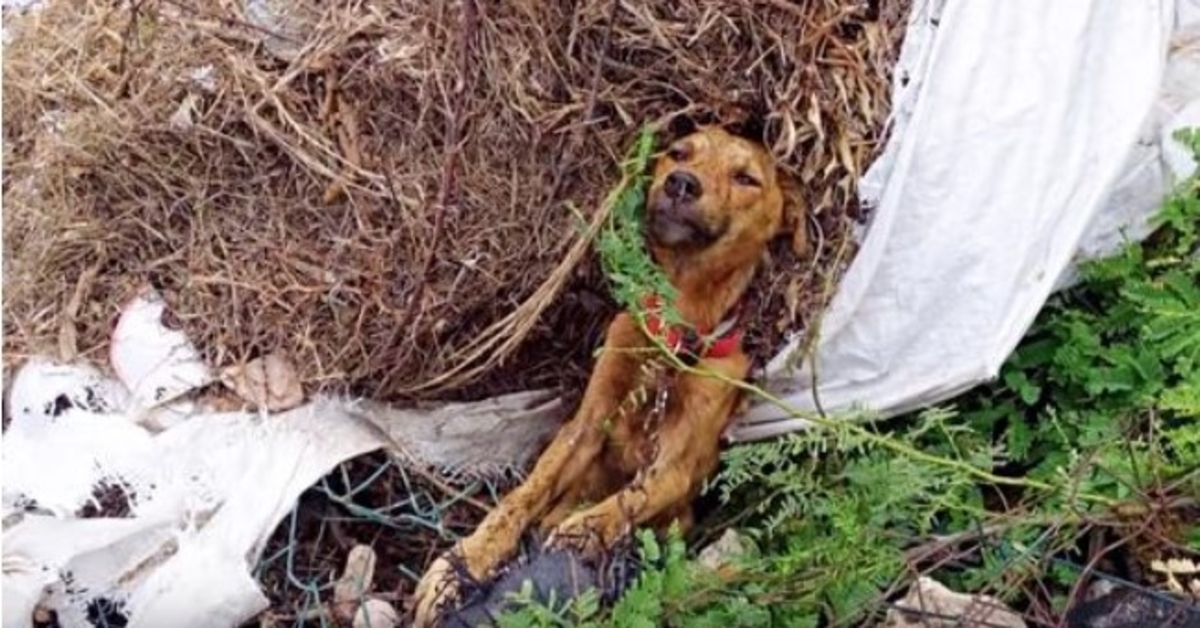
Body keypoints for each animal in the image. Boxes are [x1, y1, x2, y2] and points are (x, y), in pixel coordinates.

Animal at [412, 125, 806, 624]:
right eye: (679, 153)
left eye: (746, 178)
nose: (680, 183)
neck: (670, 335)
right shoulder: (585, 425)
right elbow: (523, 495)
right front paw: (465, 559)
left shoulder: (680, 465)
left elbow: (636, 494)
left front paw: (585, 530)